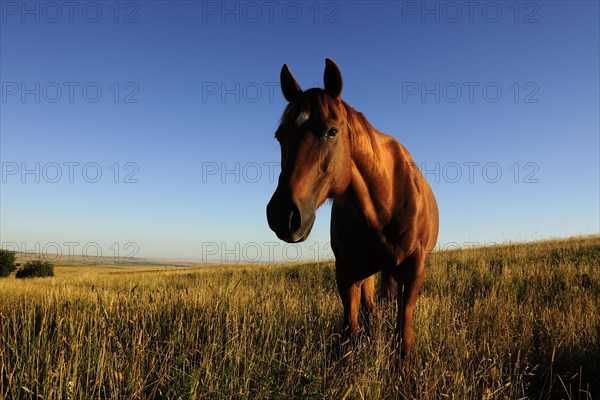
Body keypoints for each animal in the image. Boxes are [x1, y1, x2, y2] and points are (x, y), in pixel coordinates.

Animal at [268, 57, 440, 358]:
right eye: (280, 136)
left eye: (332, 131)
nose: (282, 215)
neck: (386, 204)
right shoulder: (347, 274)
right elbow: (351, 334)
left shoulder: (414, 271)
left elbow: (404, 336)